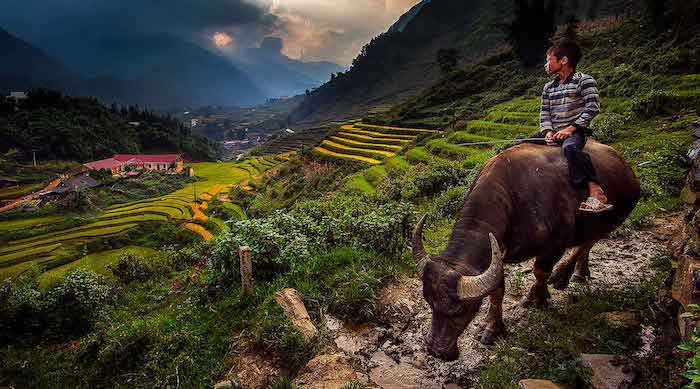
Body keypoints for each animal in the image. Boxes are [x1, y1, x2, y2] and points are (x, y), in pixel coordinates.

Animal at [416, 139, 640, 358]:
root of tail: (626, 168)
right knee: (586, 244)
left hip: (614, 219)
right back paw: (577, 273)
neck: (513, 199)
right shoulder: (496, 256)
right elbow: (496, 291)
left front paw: (537, 298)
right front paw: (492, 327)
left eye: (460, 309)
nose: (436, 350)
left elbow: (540, 271)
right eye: (429, 302)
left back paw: (564, 274)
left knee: (588, 242)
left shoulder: (555, 244)